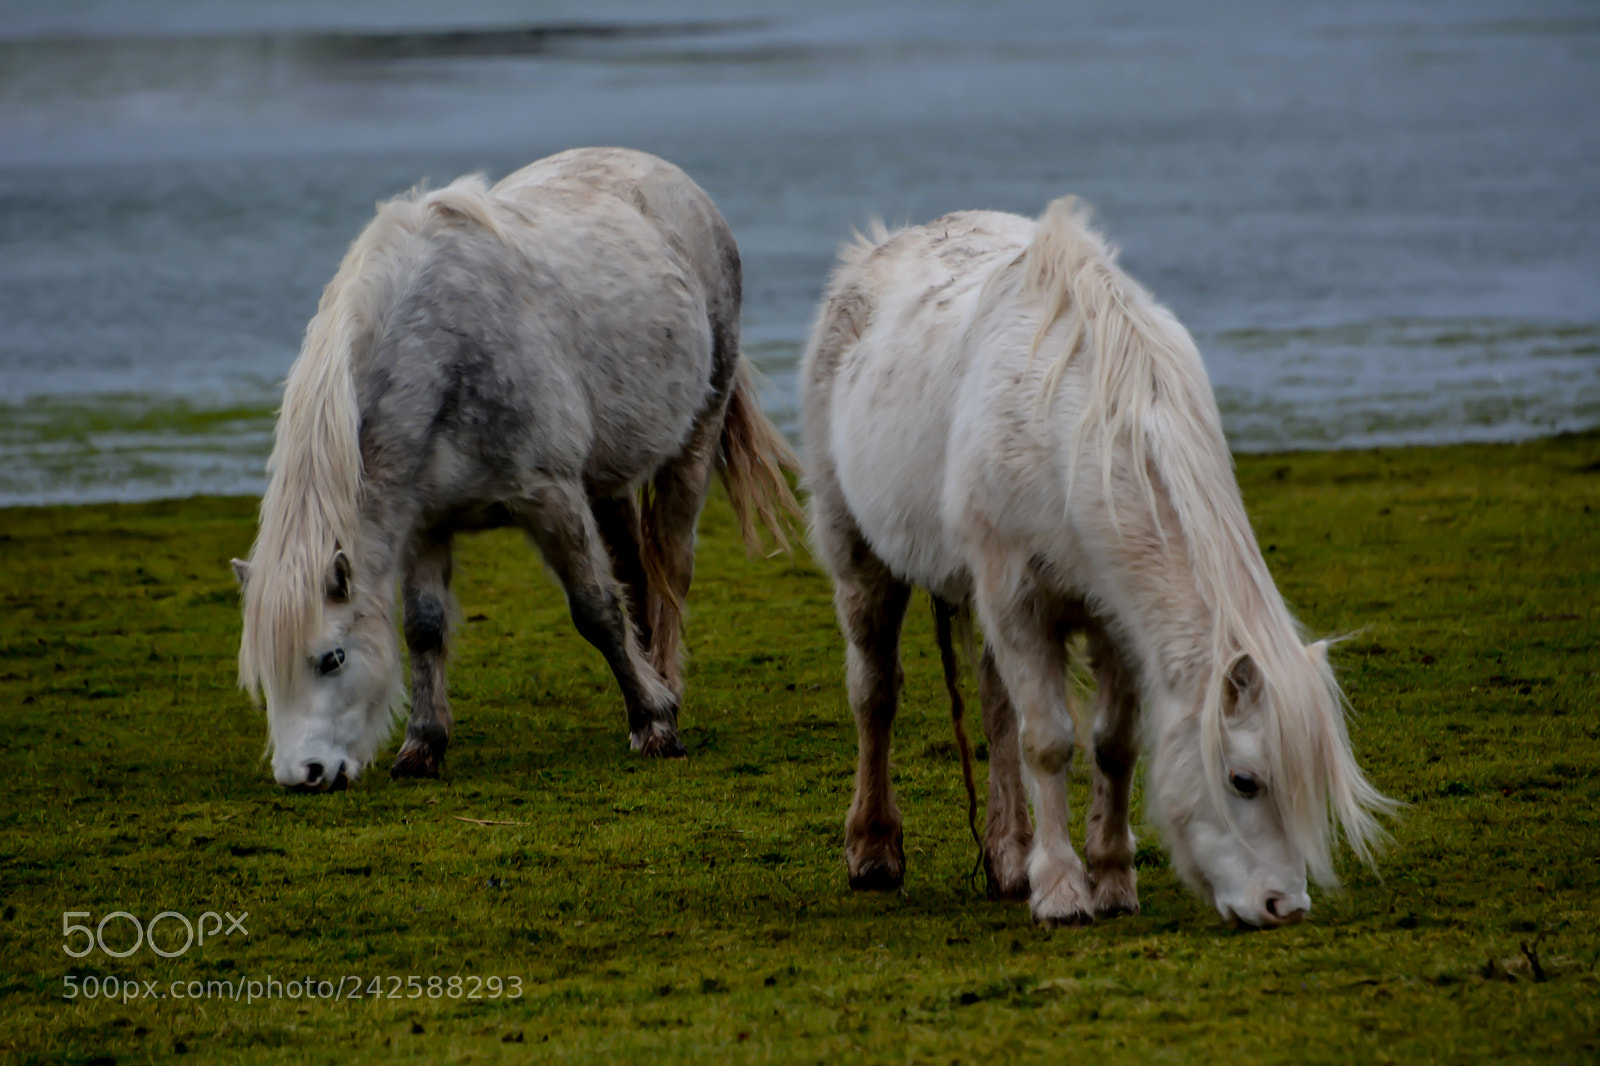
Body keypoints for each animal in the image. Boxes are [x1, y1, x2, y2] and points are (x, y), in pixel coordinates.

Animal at [233, 147, 799, 791]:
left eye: (333, 658)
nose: (303, 773)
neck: (446, 355)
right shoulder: (424, 522)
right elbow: (424, 628)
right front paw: (422, 745)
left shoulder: (551, 499)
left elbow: (596, 610)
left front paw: (656, 724)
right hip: (607, 483)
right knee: (636, 573)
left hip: (693, 443)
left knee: (670, 573)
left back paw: (666, 690)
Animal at [801, 198, 1395, 928]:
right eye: (1243, 781)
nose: (1283, 905)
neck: (1073, 436)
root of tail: (878, 250)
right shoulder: (1018, 602)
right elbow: (1049, 742)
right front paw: (1061, 891)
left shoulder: (1114, 617)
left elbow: (1113, 743)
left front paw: (1111, 880)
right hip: (860, 560)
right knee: (875, 693)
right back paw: (874, 849)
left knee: (997, 714)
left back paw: (1008, 857)